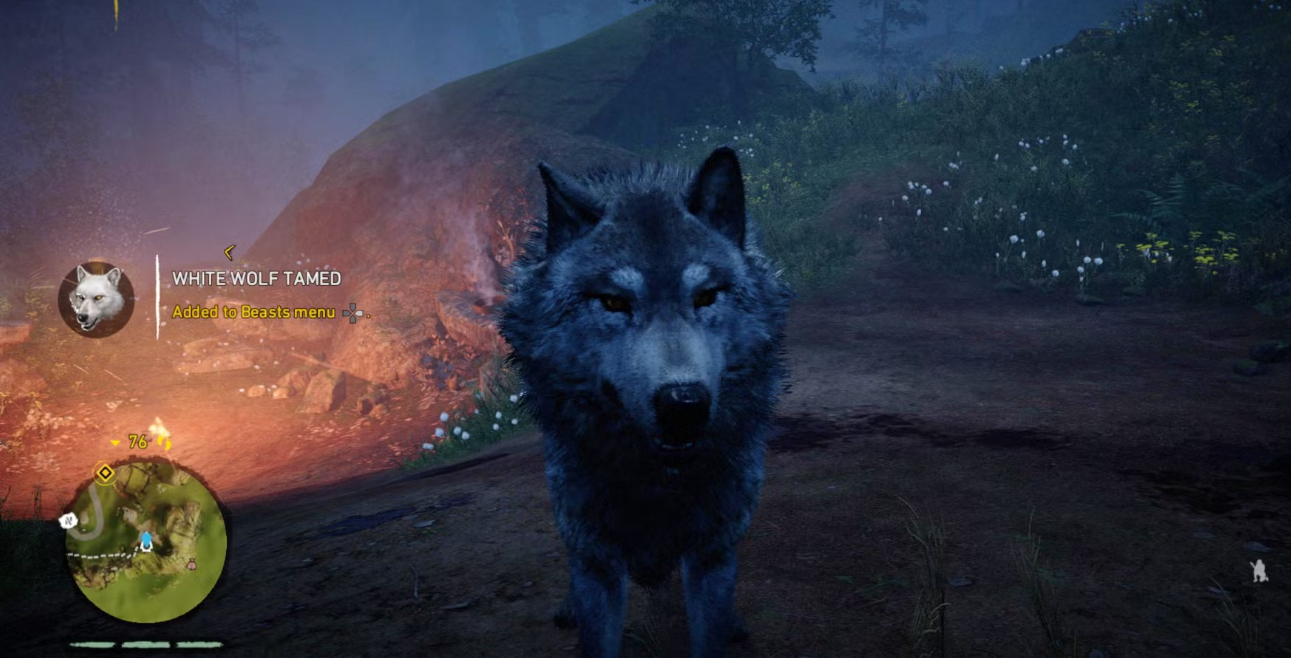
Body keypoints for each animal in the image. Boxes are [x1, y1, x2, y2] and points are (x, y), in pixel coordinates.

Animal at [498, 146, 792, 658]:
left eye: (706, 296)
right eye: (614, 303)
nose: (683, 403)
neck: (658, 480)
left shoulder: (713, 550)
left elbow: (710, 632)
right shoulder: (595, 557)